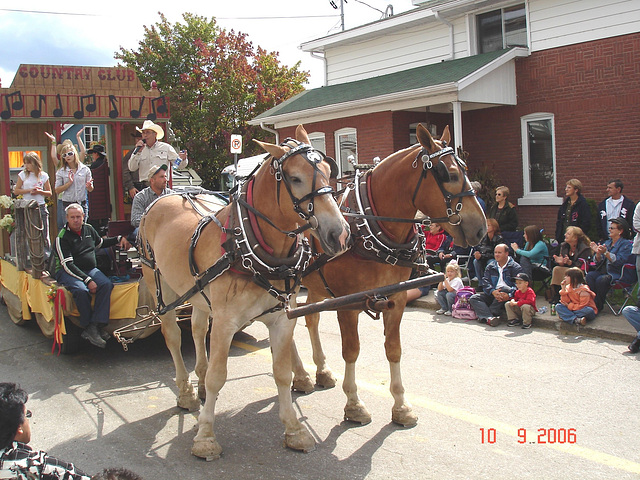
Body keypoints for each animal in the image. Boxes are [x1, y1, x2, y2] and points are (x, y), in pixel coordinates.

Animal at [138, 125, 352, 460]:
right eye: (295, 178)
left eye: (331, 172)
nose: (339, 234)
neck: (249, 244)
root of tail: (169, 195)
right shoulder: (226, 322)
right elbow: (218, 376)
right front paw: (205, 437)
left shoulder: (281, 318)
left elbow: (281, 372)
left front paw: (294, 430)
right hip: (158, 282)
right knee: (172, 335)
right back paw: (186, 391)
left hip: (197, 291)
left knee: (197, 327)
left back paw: (197, 382)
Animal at [292, 124, 488, 428]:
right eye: (449, 174)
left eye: (465, 169)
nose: (481, 228)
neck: (371, 227)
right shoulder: (348, 304)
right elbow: (351, 350)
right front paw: (354, 404)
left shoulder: (397, 297)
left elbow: (393, 349)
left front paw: (401, 406)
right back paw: (300, 375)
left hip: (316, 287)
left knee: (310, 320)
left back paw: (321, 371)